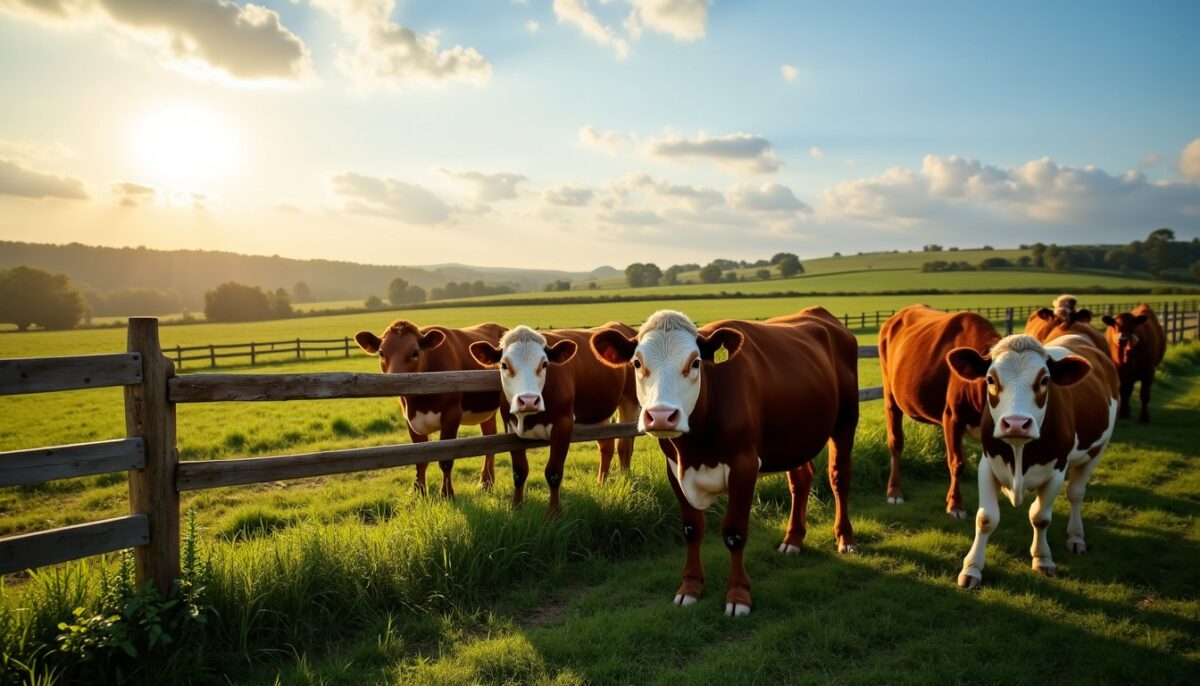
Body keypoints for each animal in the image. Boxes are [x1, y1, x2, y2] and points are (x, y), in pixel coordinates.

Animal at [355, 320, 507, 498]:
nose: (393, 380)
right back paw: (486, 482)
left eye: (415, 352)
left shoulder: (451, 415)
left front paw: (446, 493)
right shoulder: (410, 420)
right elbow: (420, 459)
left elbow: (446, 460)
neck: (419, 403)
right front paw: (417, 491)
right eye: (381, 352)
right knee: (490, 438)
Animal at [468, 324, 640, 513]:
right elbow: (519, 471)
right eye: (504, 365)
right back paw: (601, 484)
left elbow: (553, 472)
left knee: (624, 445)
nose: (528, 400)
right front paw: (517, 508)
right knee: (607, 446)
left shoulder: (563, 425)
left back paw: (626, 482)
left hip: (630, 401)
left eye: (545, 364)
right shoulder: (511, 428)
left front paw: (554, 512)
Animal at [590, 308, 859, 617]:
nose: (660, 416)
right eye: (636, 362)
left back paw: (846, 539)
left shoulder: (744, 466)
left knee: (839, 477)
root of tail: (820, 314)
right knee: (801, 480)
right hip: (793, 438)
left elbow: (734, 532)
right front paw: (690, 588)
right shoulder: (674, 469)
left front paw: (738, 595)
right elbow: (692, 529)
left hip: (846, 421)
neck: (695, 449)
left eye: (695, 363)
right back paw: (793, 539)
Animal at [879, 306, 999, 517]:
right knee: (896, 443)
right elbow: (957, 462)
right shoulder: (952, 416)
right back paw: (894, 492)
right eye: (992, 378)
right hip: (890, 396)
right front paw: (955, 505)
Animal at [946, 333, 1118, 589]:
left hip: (1097, 451)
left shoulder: (1057, 469)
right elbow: (986, 518)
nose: (1016, 423)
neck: (1019, 453)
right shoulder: (987, 464)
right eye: (990, 379)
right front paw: (972, 568)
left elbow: (1040, 517)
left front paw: (1042, 558)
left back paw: (1076, 536)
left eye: (1045, 380)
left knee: (1076, 493)